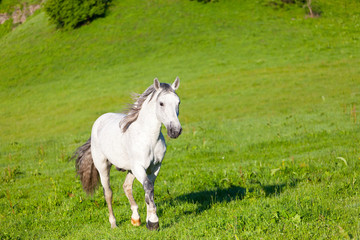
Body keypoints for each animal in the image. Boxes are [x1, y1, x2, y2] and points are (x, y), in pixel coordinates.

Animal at [74, 78, 184, 230]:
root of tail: (99, 120)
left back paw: (136, 219)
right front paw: (154, 222)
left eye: (178, 102)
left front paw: (148, 221)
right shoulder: (139, 167)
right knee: (108, 192)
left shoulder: (155, 167)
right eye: (161, 103)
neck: (148, 137)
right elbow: (148, 187)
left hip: (130, 169)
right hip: (103, 167)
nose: (175, 131)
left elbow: (149, 190)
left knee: (126, 187)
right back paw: (113, 224)